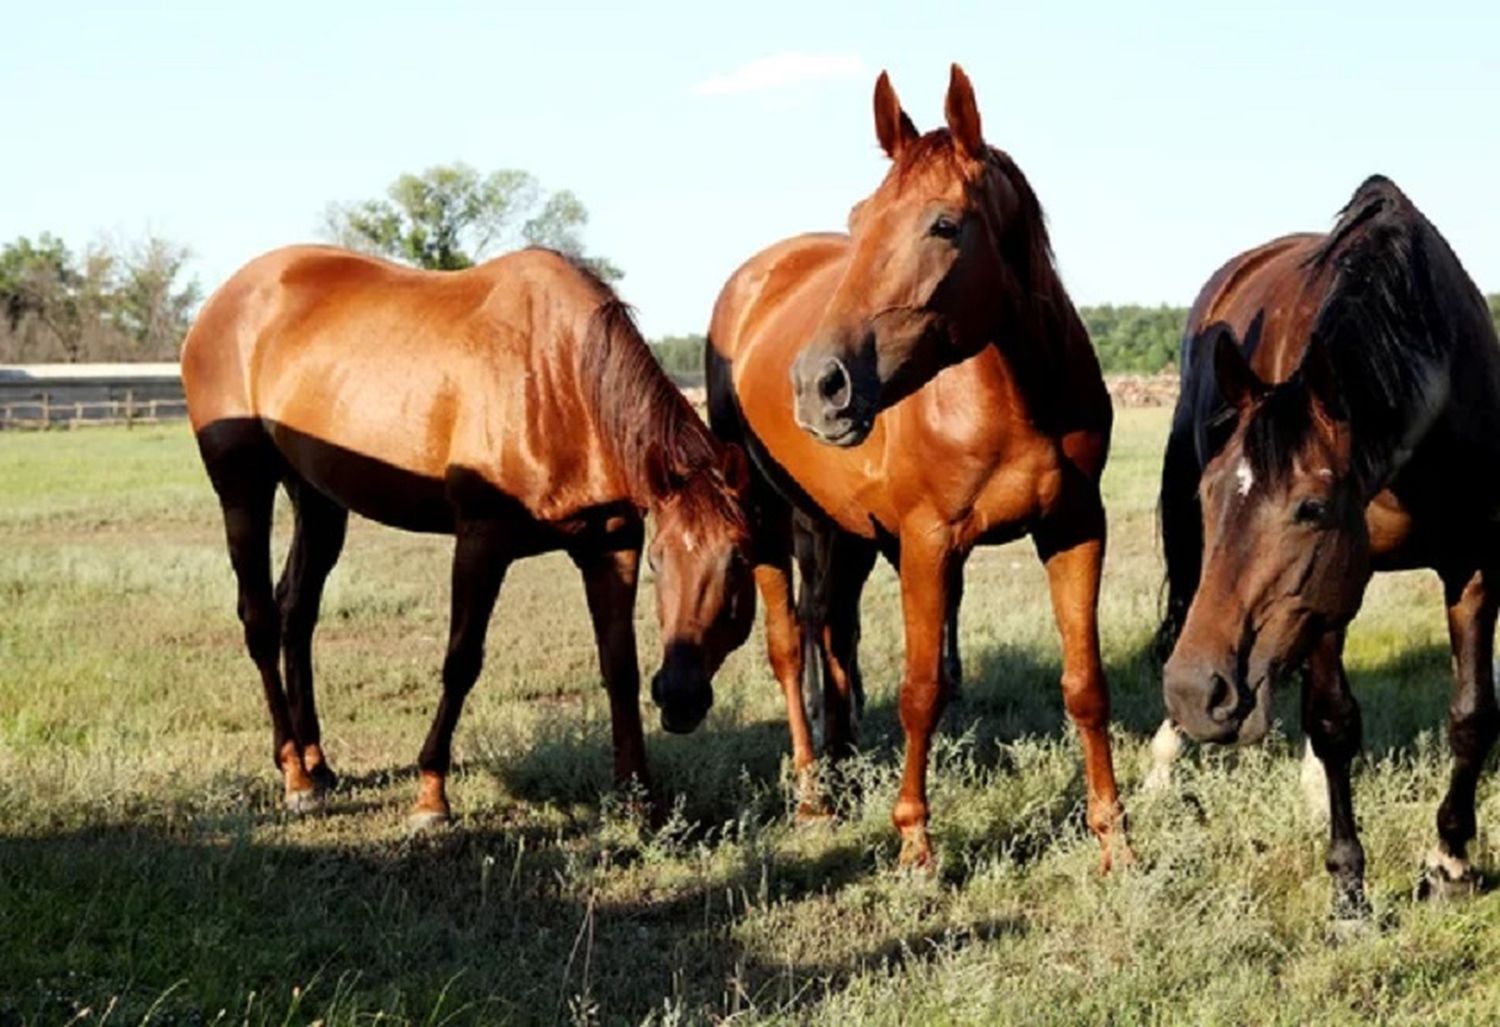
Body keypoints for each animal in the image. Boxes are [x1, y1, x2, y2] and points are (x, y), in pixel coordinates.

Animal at [181, 242, 756, 827]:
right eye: (662, 561)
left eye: (740, 559)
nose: (681, 697)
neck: (557, 378)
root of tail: (223, 300)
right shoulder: (482, 540)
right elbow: (461, 662)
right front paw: (431, 795)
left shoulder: (612, 545)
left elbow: (620, 665)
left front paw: (638, 797)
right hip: (243, 488)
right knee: (260, 621)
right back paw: (295, 775)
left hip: (318, 499)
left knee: (297, 615)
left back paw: (318, 766)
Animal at [705, 62, 1128, 863]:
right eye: (858, 217)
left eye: (944, 225)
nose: (818, 385)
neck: (1013, 400)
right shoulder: (929, 543)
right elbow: (922, 690)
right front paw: (916, 844)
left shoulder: (1075, 529)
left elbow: (1084, 683)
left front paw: (1114, 839)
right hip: (767, 516)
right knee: (789, 646)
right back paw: (813, 799)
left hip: (842, 528)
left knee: (833, 630)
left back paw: (842, 768)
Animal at [1158, 173, 1500, 911]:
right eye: (1208, 494)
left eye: (1310, 507)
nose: (1198, 693)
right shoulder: (1322, 600)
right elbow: (1334, 721)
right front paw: (1348, 883)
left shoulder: (1473, 567)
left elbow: (1471, 713)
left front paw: (1452, 861)